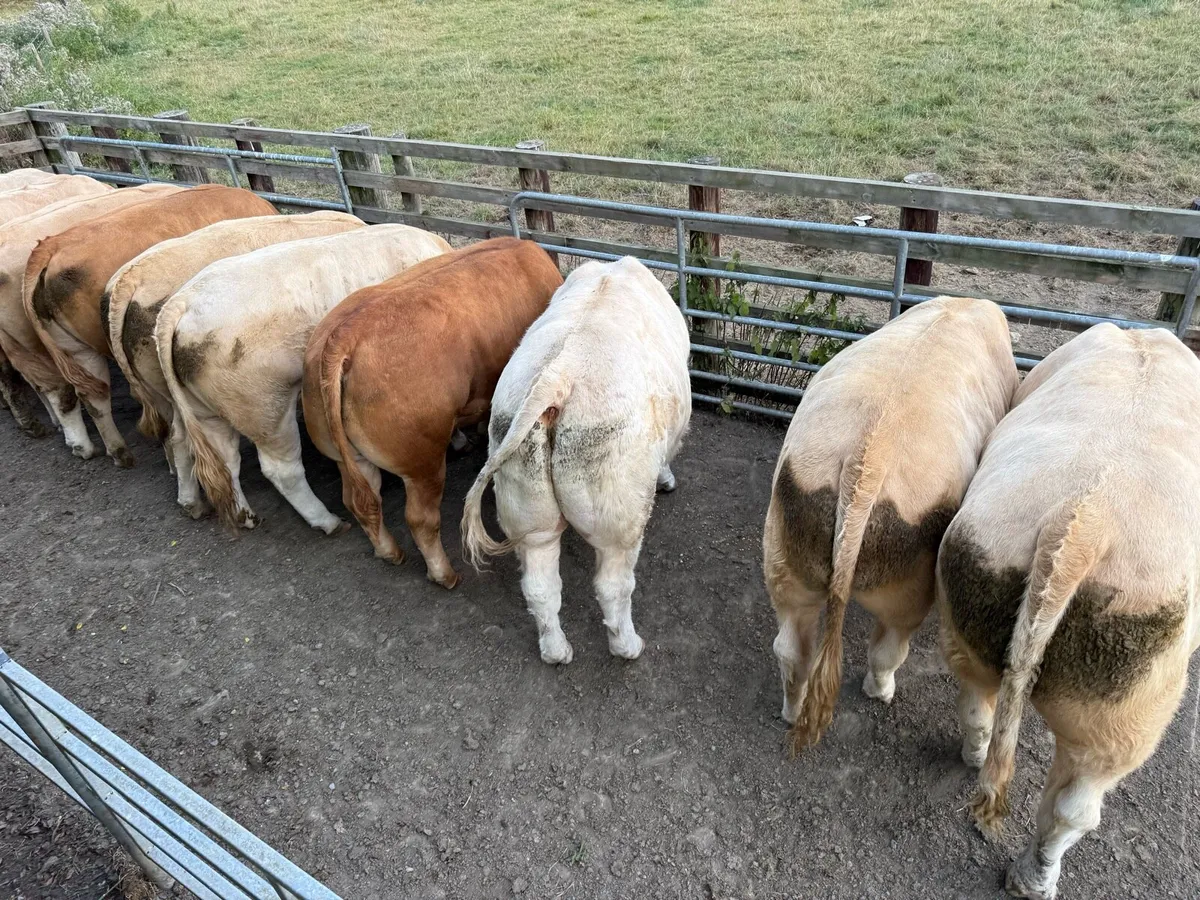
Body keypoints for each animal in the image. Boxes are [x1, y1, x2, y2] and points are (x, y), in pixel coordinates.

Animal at [157, 223, 452, 531]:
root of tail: (180, 303)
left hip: (200, 403)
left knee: (197, 446)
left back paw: (215, 511)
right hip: (263, 404)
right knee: (280, 468)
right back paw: (331, 523)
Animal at [303, 236, 561, 589]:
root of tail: (343, 337)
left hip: (346, 454)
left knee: (361, 501)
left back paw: (389, 552)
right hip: (421, 461)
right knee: (421, 519)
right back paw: (445, 574)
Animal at [460, 255, 689, 658]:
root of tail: (559, 375)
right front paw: (667, 480)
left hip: (527, 505)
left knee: (539, 585)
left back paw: (556, 651)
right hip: (618, 510)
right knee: (613, 585)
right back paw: (628, 646)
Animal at [761, 296, 1017, 754]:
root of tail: (864, 464)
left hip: (785, 546)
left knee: (791, 646)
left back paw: (791, 712)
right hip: (909, 578)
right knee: (890, 645)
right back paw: (880, 692)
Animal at [937, 323, 1200, 900]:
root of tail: (1083, 520)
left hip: (975, 581)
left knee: (978, 700)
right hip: (1134, 706)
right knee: (1077, 805)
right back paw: (1036, 880)